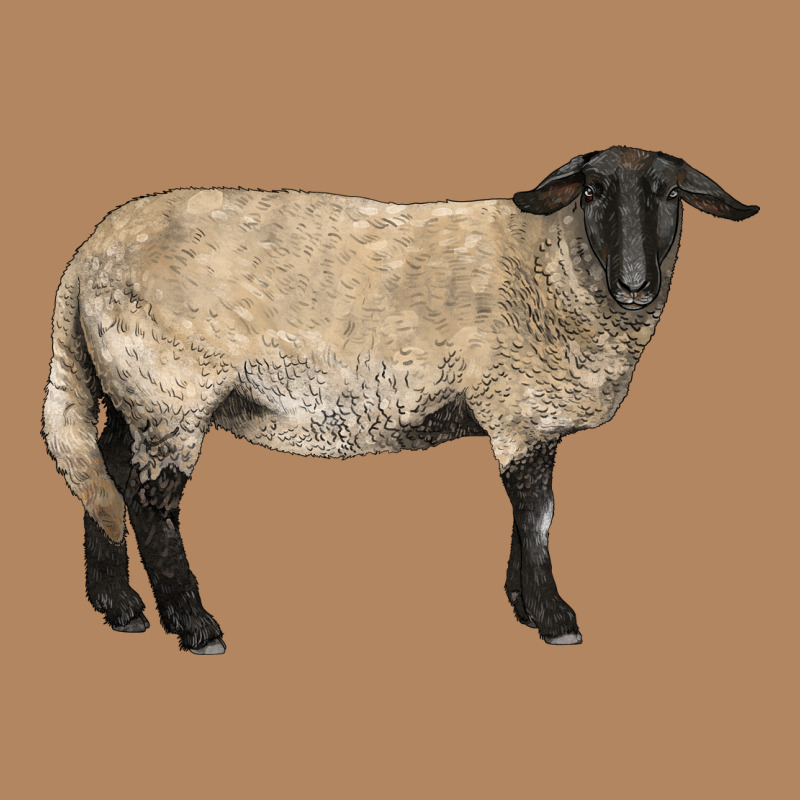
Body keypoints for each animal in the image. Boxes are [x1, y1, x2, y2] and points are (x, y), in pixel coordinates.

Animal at [42, 146, 759, 653]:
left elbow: (525, 513)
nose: (636, 285)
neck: (558, 262)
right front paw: (554, 617)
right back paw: (193, 624)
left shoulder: (522, 417)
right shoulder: (516, 407)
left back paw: (119, 607)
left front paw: (521, 602)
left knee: (101, 472)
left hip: (128, 387)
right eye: (591, 190)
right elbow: (538, 513)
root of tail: (86, 257)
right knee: (150, 505)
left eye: (671, 193)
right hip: (172, 391)